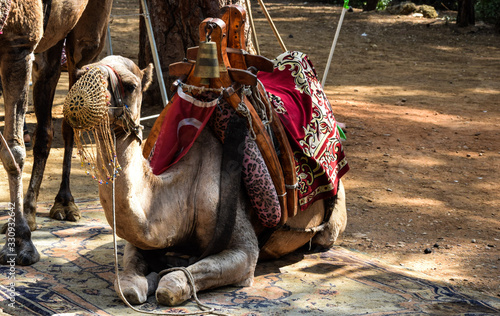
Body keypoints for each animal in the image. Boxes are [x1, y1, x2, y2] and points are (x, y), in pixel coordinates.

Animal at [65, 54, 348, 306]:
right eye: (77, 75)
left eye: (130, 85)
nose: (82, 86)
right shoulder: (142, 241)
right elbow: (128, 283)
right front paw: (144, 279)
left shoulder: (244, 249)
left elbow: (173, 283)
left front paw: (164, 278)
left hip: (333, 220)